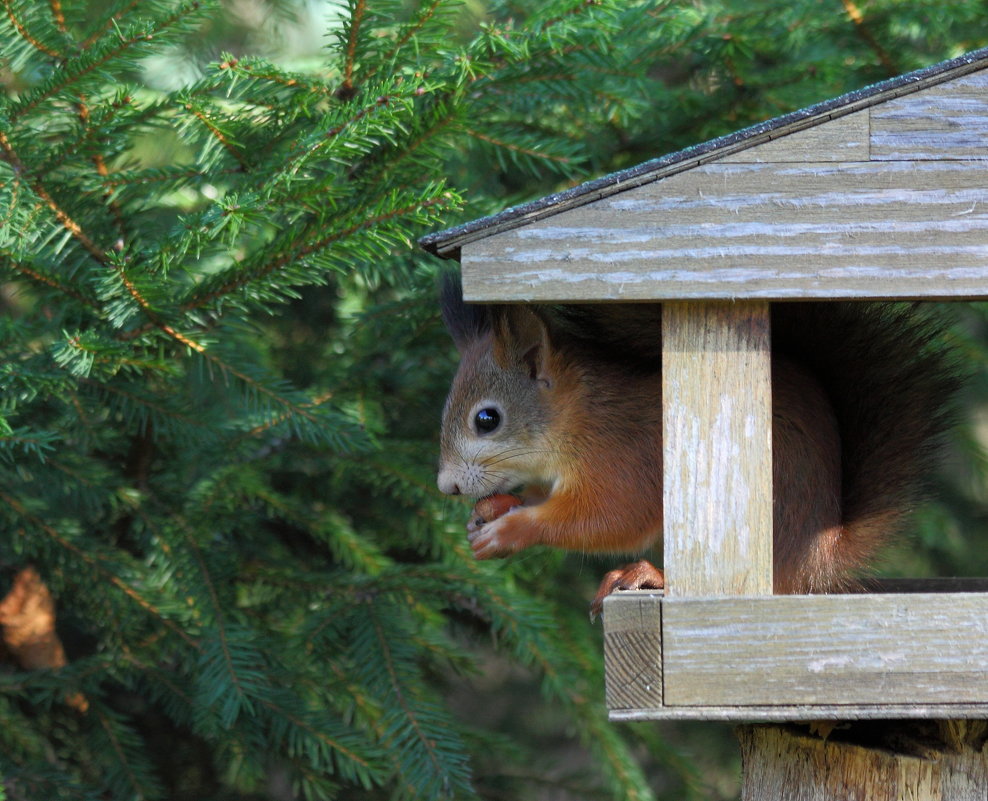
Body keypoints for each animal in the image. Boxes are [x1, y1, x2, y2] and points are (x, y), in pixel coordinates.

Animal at [438, 272, 956, 616]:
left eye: (487, 419)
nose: (446, 487)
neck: (578, 417)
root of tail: (818, 564)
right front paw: (493, 509)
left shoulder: (622, 456)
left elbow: (610, 518)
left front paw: (510, 530)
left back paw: (647, 575)